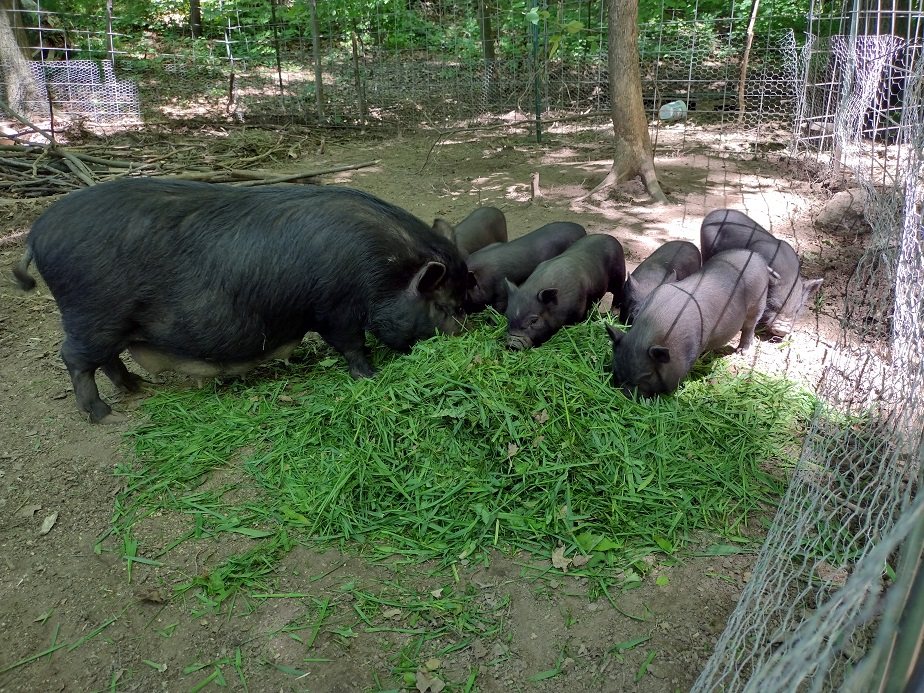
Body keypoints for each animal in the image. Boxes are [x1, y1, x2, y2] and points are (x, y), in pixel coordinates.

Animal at [12, 178, 468, 423]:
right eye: (444, 305)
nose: (463, 337)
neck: (382, 268)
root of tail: (37, 234)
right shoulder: (334, 308)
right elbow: (352, 344)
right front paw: (371, 376)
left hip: (111, 324)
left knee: (106, 358)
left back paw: (138, 387)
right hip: (92, 314)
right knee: (74, 357)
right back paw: (105, 414)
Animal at [605, 249, 770, 398]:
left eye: (647, 376)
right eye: (617, 370)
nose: (626, 395)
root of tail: (757, 256)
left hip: (757, 305)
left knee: (749, 327)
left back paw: (742, 351)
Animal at [700, 209, 823, 337]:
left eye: (797, 309)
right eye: (773, 306)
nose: (782, 329)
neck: (788, 275)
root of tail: (713, 213)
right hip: (706, 247)